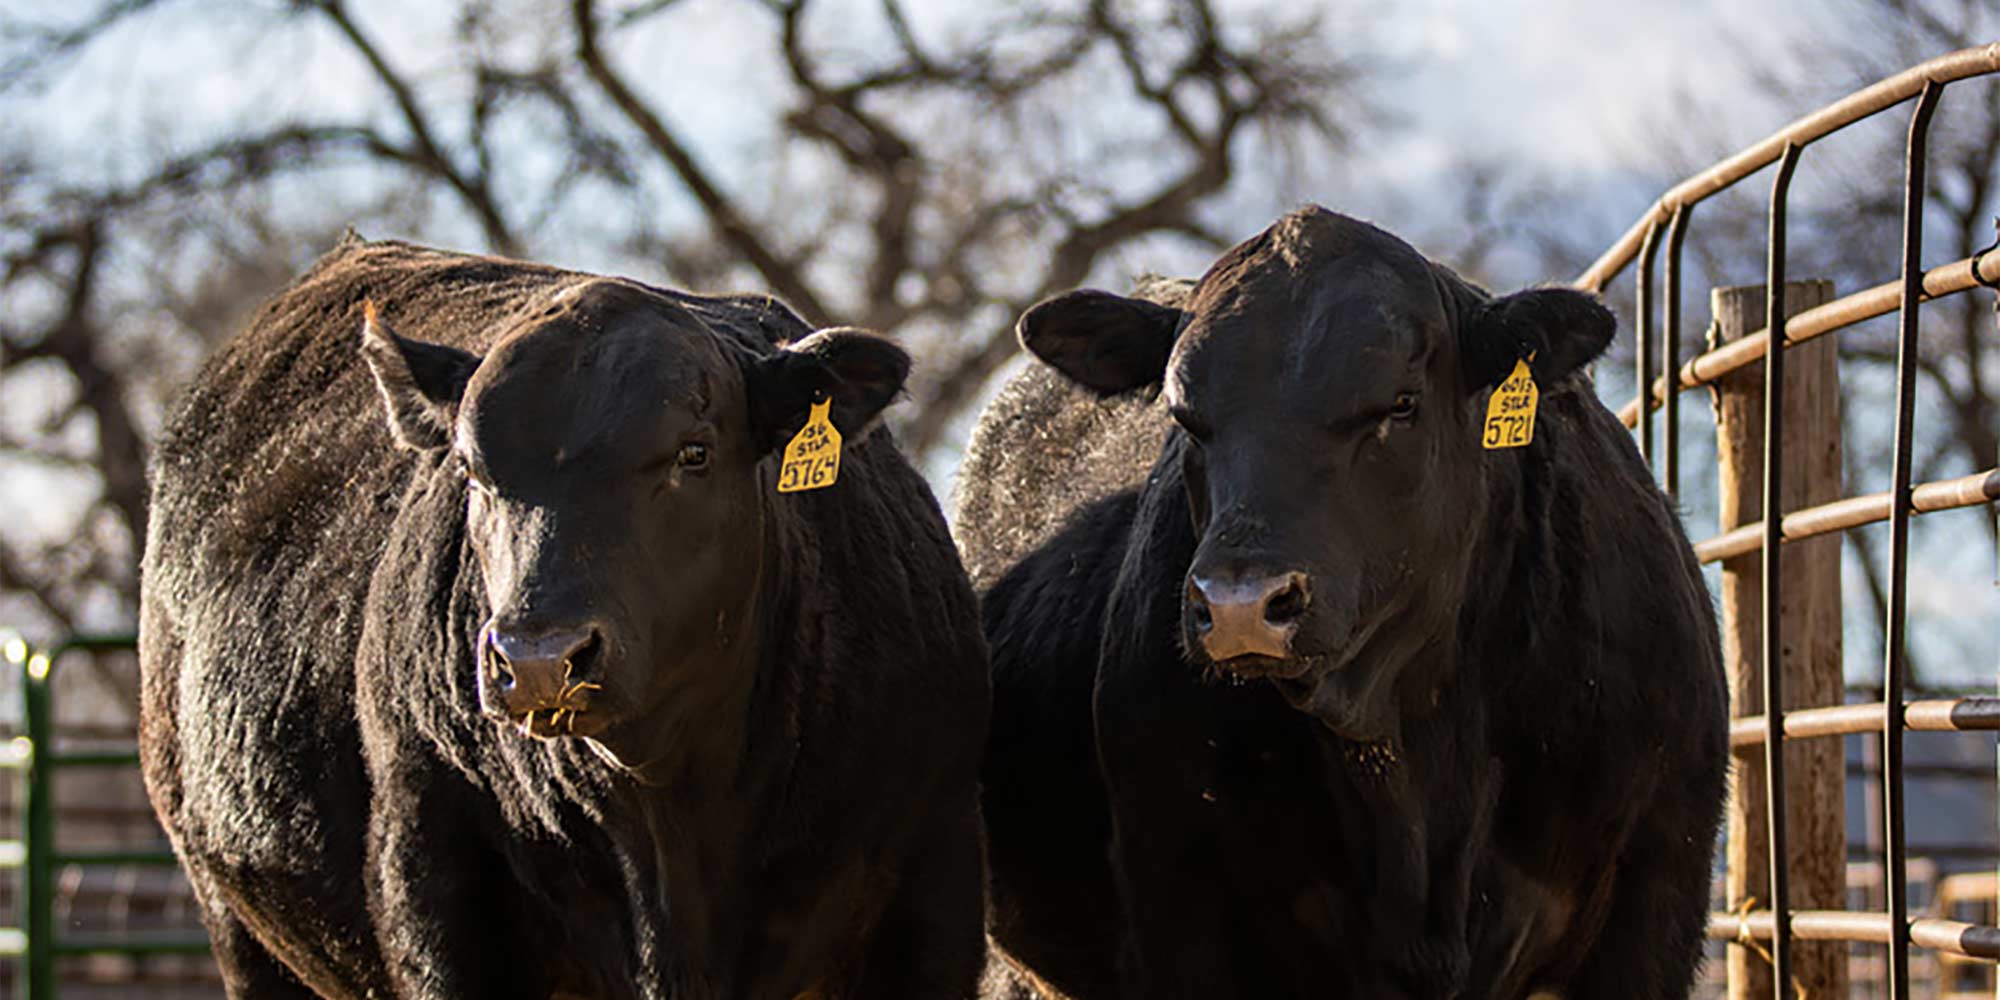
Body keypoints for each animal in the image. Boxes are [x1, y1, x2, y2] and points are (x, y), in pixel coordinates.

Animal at [138, 236, 992, 999]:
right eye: (471, 470)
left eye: (693, 452)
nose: (540, 659)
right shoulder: (436, 884)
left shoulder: (930, 887)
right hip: (238, 925)